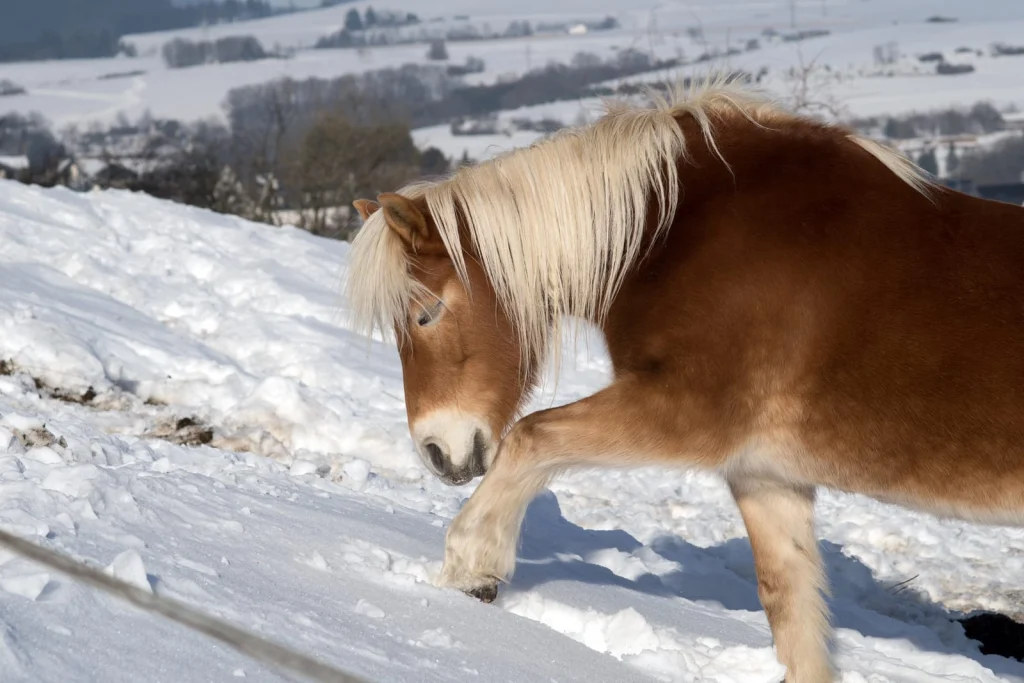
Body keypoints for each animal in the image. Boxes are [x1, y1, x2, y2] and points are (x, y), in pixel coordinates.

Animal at [345, 78, 1024, 682]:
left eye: (426, 312)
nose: (437, 451)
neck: (678, 236)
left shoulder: (686, 415)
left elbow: (531, 438)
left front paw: (472, 568)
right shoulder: (765, 476)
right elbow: (790, 614)